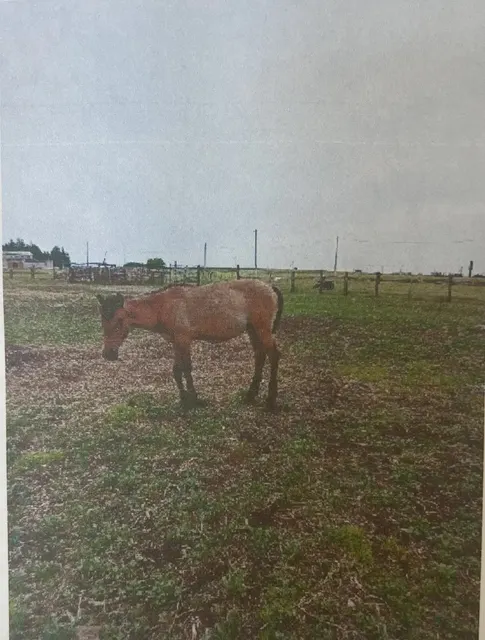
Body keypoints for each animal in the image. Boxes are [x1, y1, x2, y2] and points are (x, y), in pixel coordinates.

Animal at [96, 279, 284, 411]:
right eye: (103, 322)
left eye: (119, 321)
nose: (108, 354)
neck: (164, 306)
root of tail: (269, 287)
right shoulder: (176, 342)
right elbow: (176, 370)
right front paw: (183, 399)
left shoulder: (184, 340)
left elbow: (186, 368)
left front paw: (194, 399)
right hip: (252, 331)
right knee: (260, 356)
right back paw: (250, 395)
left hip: (262, 330)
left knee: (273, 355)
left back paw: (271, 399)